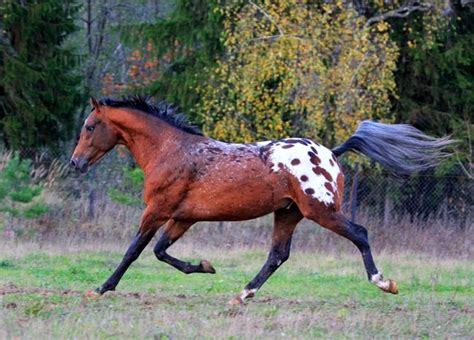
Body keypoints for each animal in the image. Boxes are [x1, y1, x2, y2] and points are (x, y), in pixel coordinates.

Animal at [69, 95, 452, 306]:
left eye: (89, 126)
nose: (75, 164)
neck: (172, 151)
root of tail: (330, 152)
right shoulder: (183, 217)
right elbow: (161, 252)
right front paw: (205, 266)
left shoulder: (157, 211)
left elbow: (134, 251)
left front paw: (100, 289)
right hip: (288, 214)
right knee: (277, 256)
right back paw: (242, 294)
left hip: (322, 211)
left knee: (360, 234)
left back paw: (384, 283)